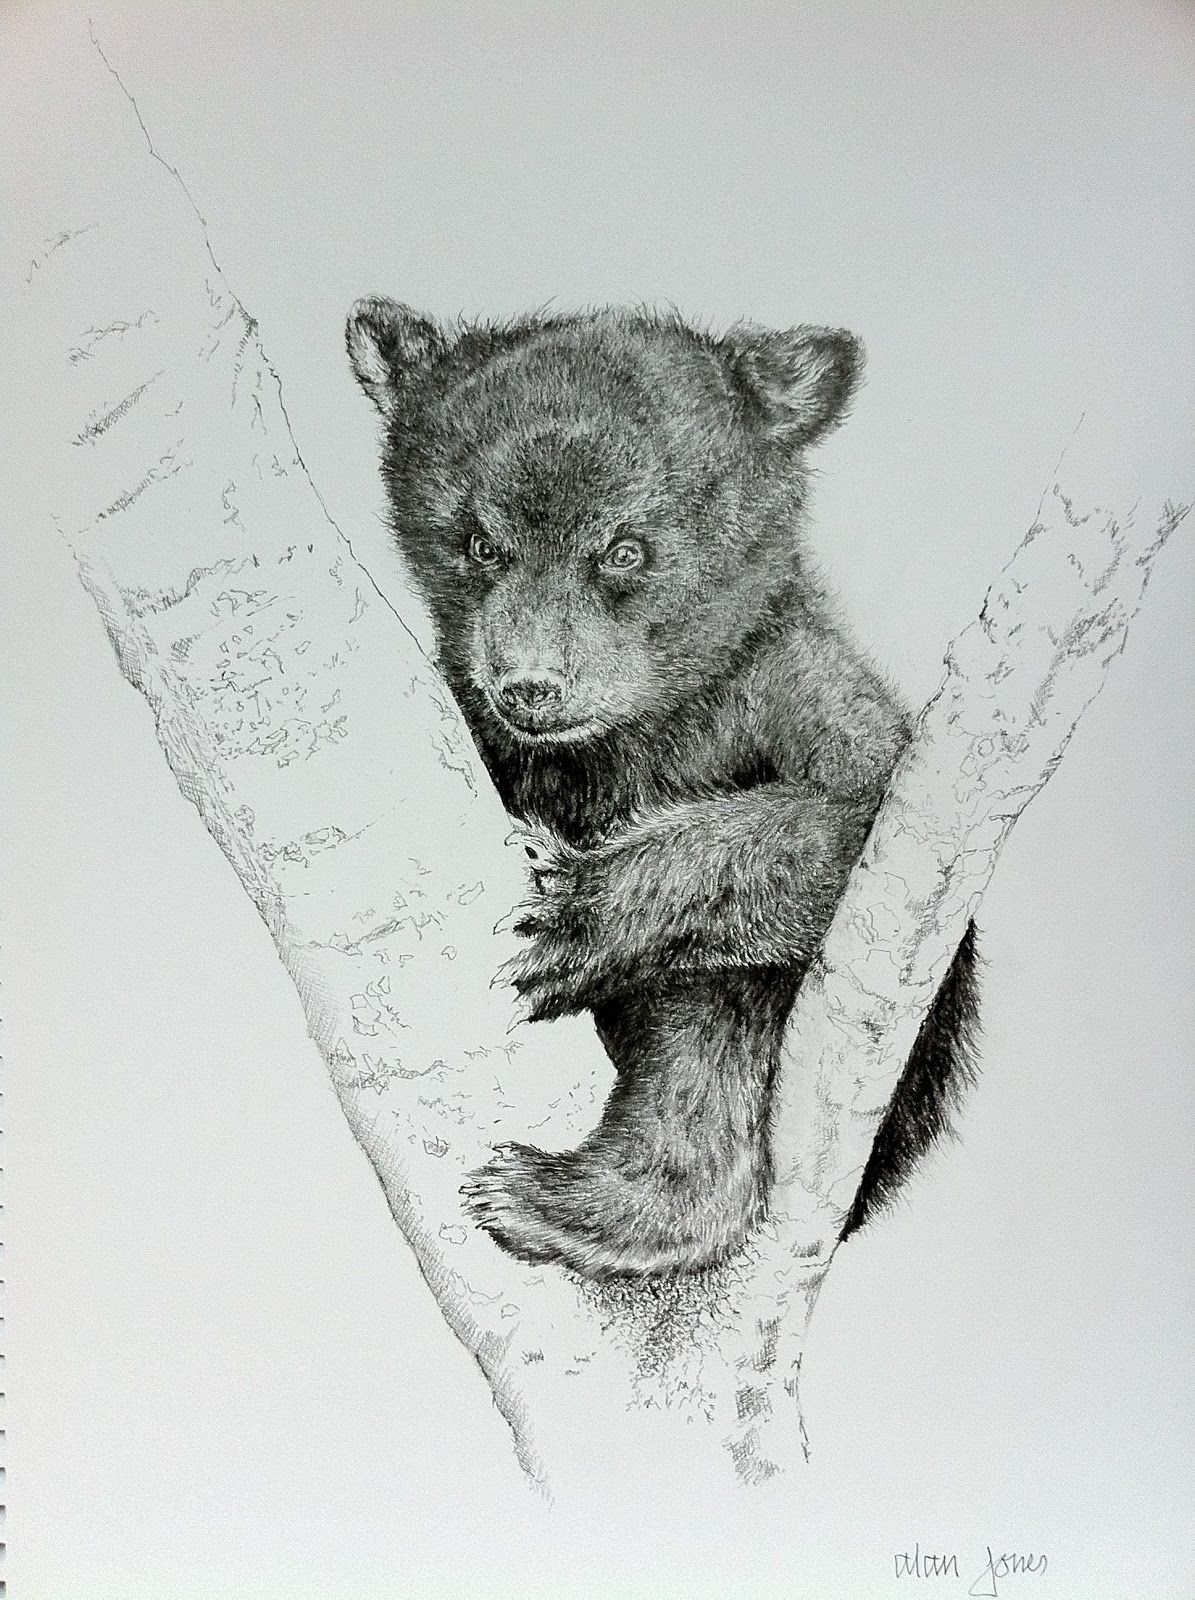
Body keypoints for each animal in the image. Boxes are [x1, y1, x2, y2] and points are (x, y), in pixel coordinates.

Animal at [346, 297, 980, 1280]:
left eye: (625, 549)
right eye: (479, 543)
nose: (530, 687)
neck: (620, 741)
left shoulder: (785, 685)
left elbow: (866, 822)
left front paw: (568, 914)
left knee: (711, 1038)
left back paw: (568, 1200)